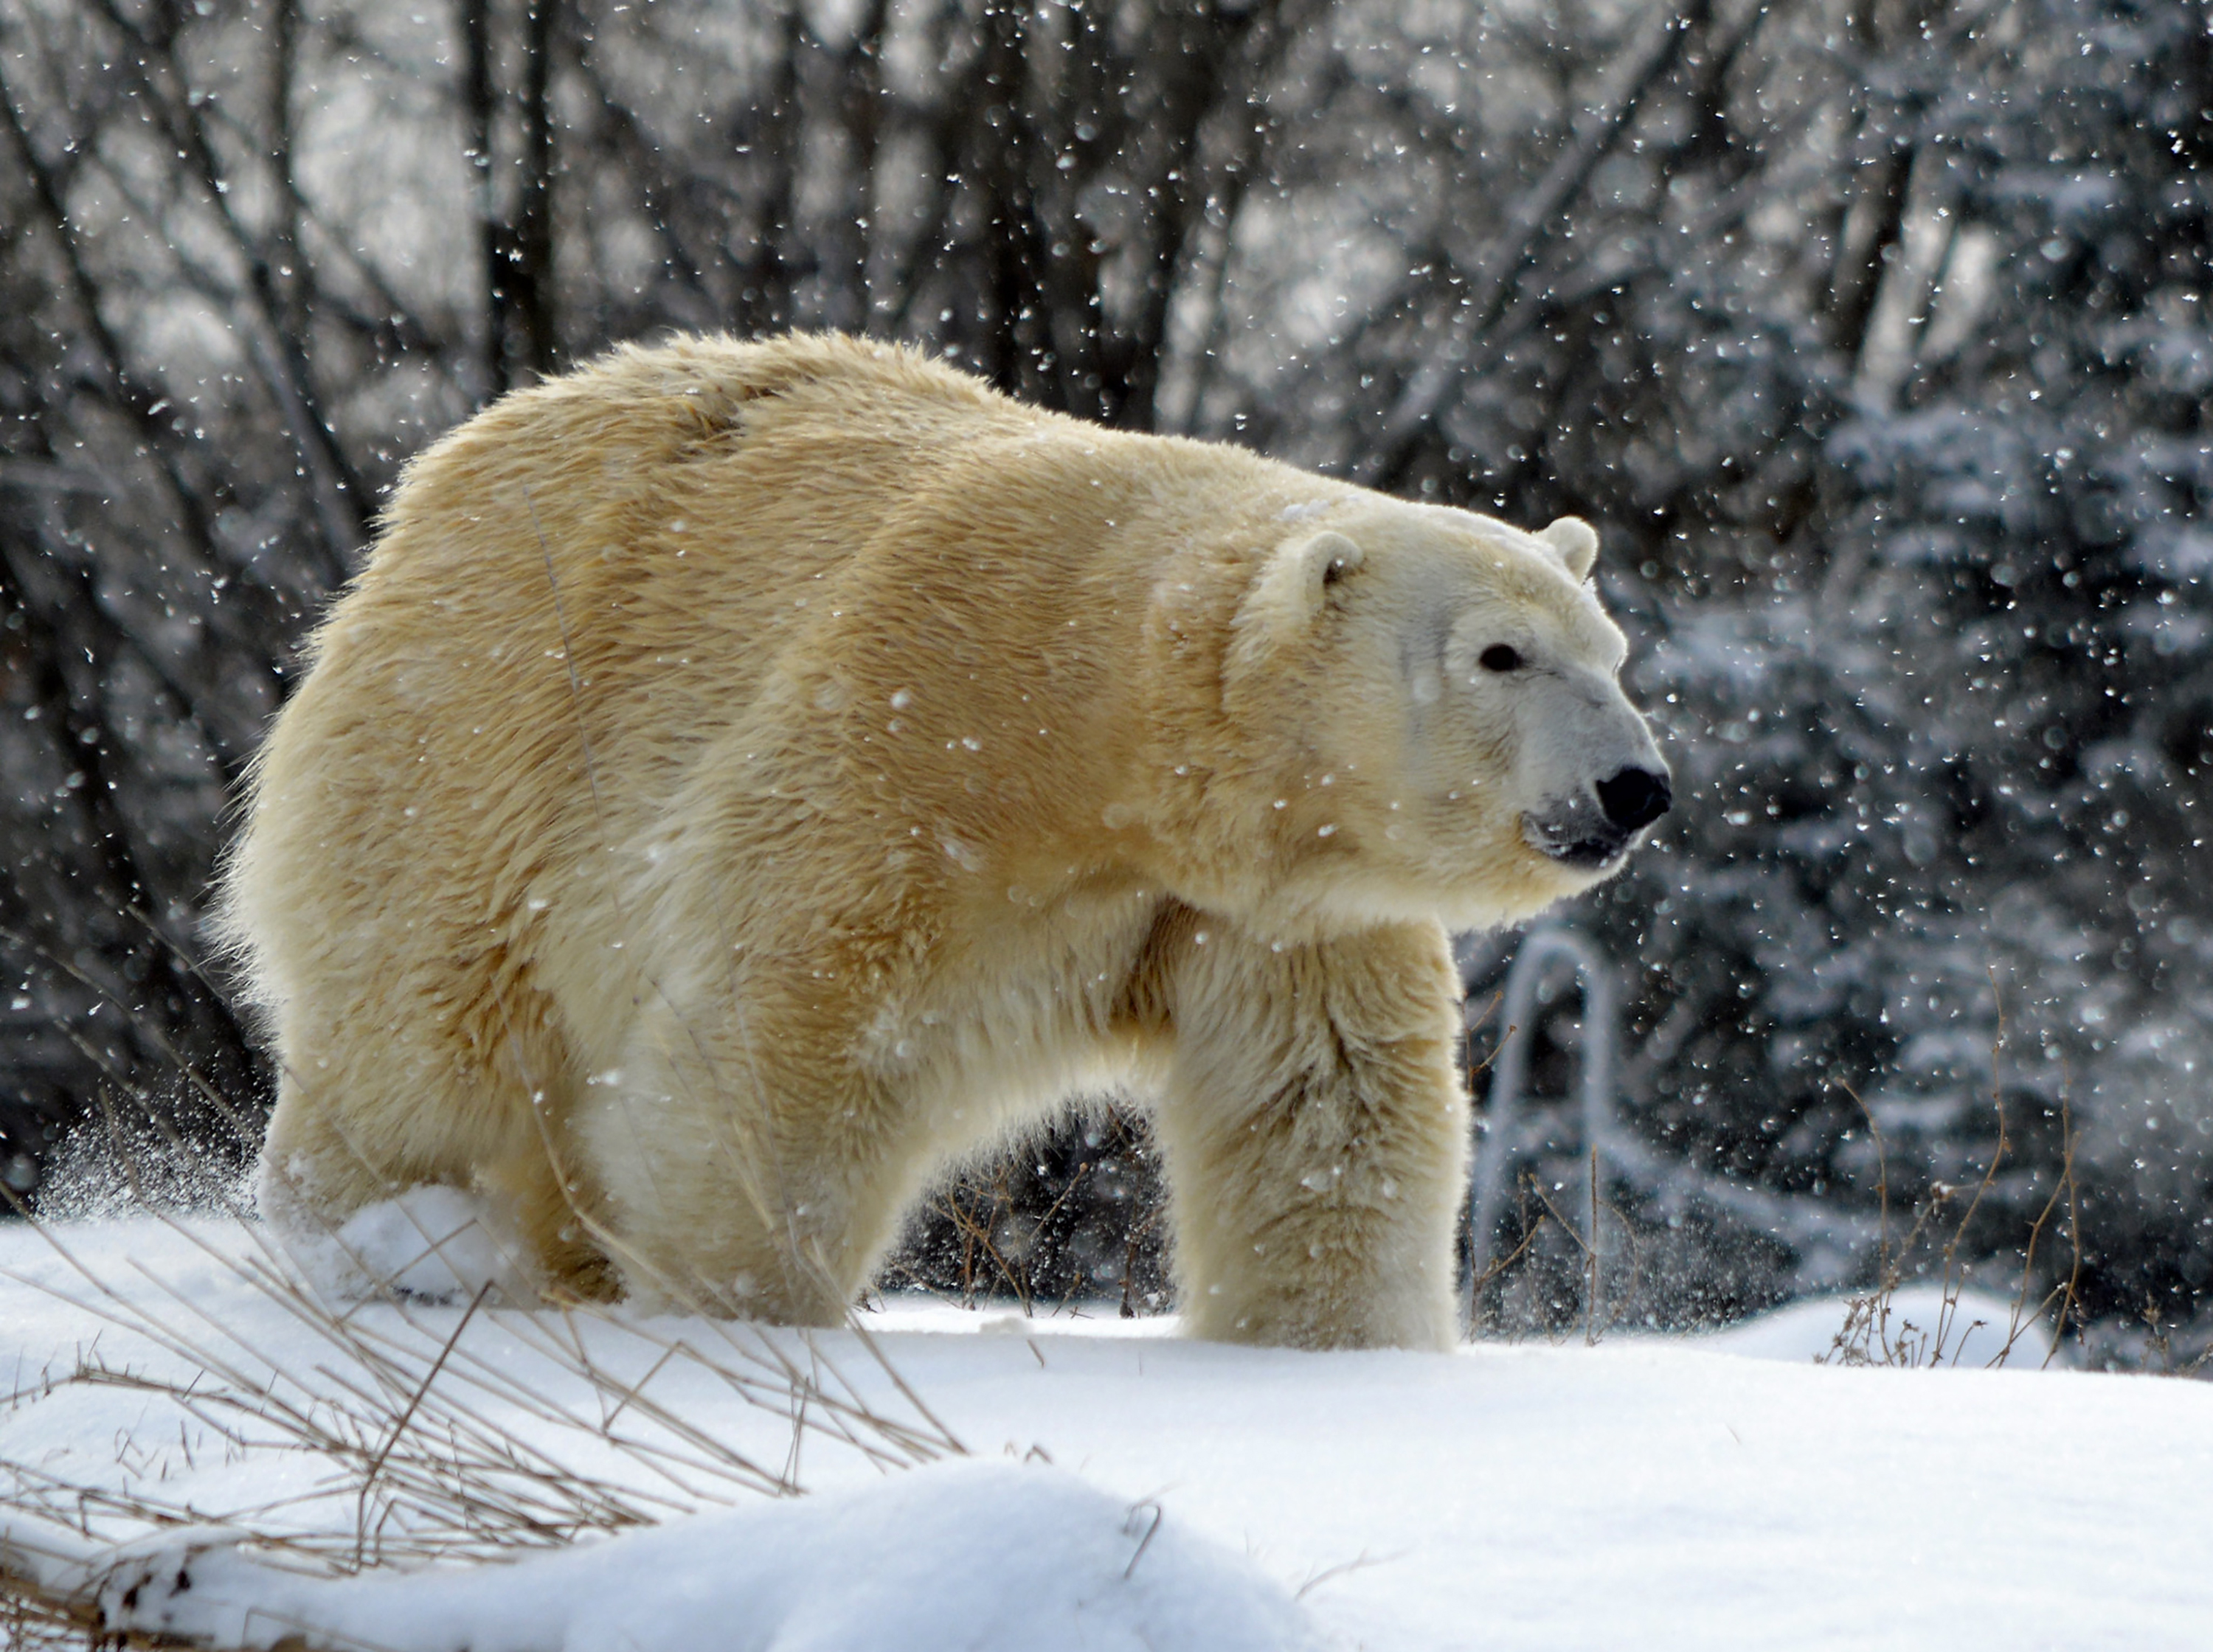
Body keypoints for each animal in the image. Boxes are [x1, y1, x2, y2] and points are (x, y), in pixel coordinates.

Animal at [222, 332, 1669, 1350]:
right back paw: (391, 1243)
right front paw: (734, 1317)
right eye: (1500, 653)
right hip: (482, 735)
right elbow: (777, 1042)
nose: (1635, 787)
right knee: (424, 1032)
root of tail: (443, 475)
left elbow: (1326, 1110)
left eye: (1611, 651)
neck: (1101, 724)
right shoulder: (906, 744)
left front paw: (1342, 1355)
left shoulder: (1276, 904)